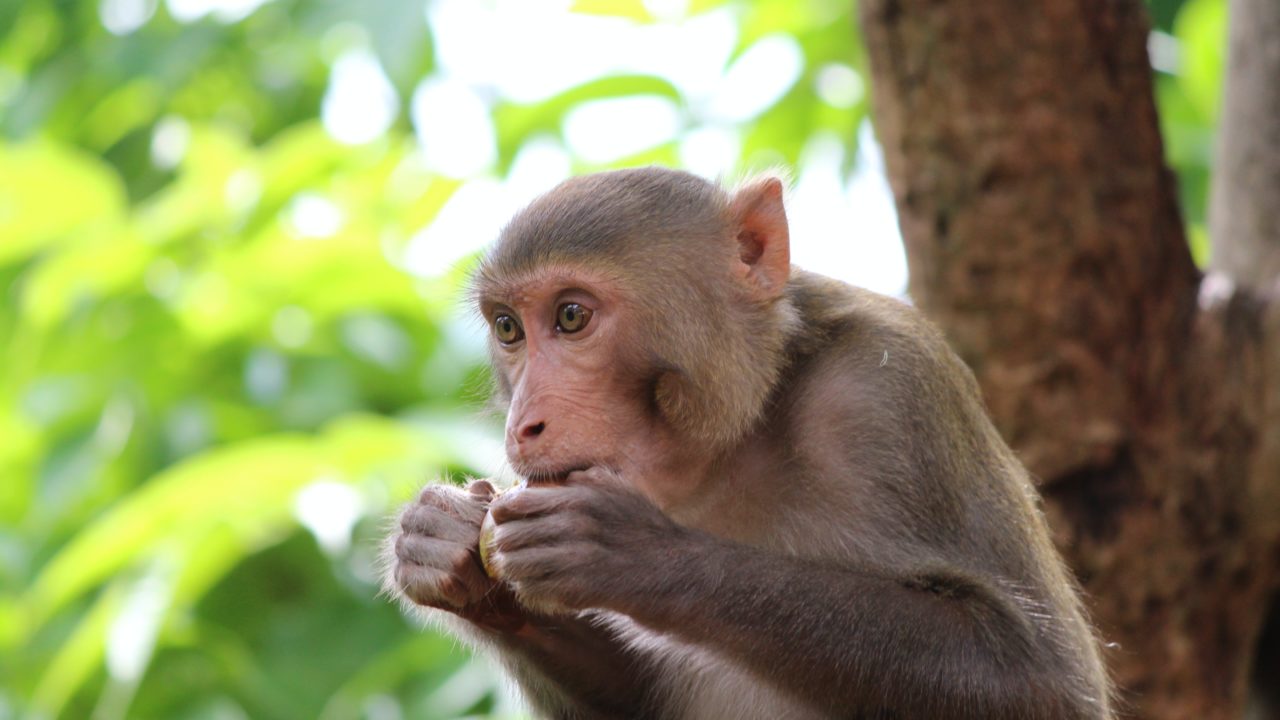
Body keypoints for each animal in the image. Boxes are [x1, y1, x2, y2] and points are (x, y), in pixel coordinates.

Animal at [386, 167, 1112, 719]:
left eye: (570, 316)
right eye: (508, 328)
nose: (523, 424)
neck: (742, 428)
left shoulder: (891, 394)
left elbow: (1040, 683)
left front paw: (639, 554)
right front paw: (446, 546)